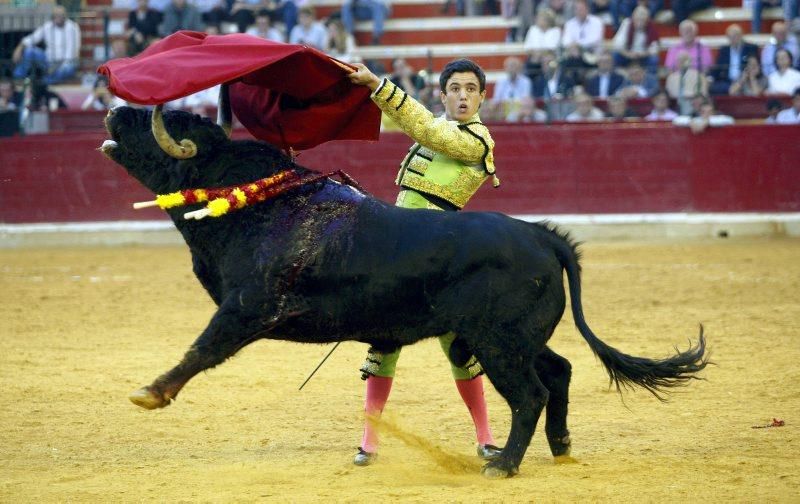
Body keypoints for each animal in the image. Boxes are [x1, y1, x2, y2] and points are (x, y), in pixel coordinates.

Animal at [100, 106, 708, 476]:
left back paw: (503, 463)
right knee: (558, 372)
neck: (257, 204)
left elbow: (203, 347)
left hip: (498, 340)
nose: (115, 108)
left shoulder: (250, 306)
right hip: (510, 336)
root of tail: (541, 234)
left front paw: (150, 392)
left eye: (160, 124)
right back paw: (559, 448)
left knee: (529, 393)